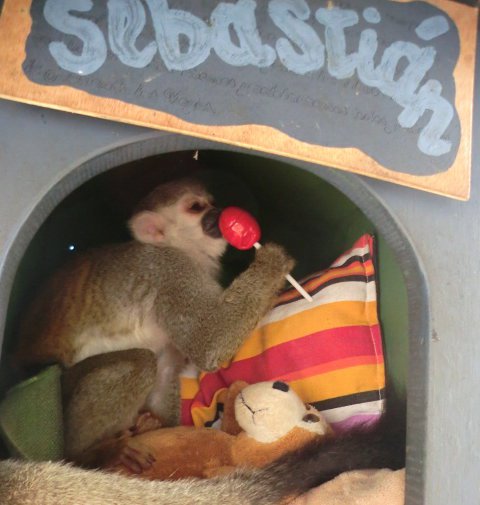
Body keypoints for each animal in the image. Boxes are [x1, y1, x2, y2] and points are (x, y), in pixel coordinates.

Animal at [14, 176, 295, 465]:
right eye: (196, 207)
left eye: (212, 202)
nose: (219, 213)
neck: (181, 249)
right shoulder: (170, 271)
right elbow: (207, 342)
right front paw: (272, 262)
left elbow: (171, 364)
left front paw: (159, 424)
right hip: (62, 383)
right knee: (140, 362)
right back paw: (89, 454)